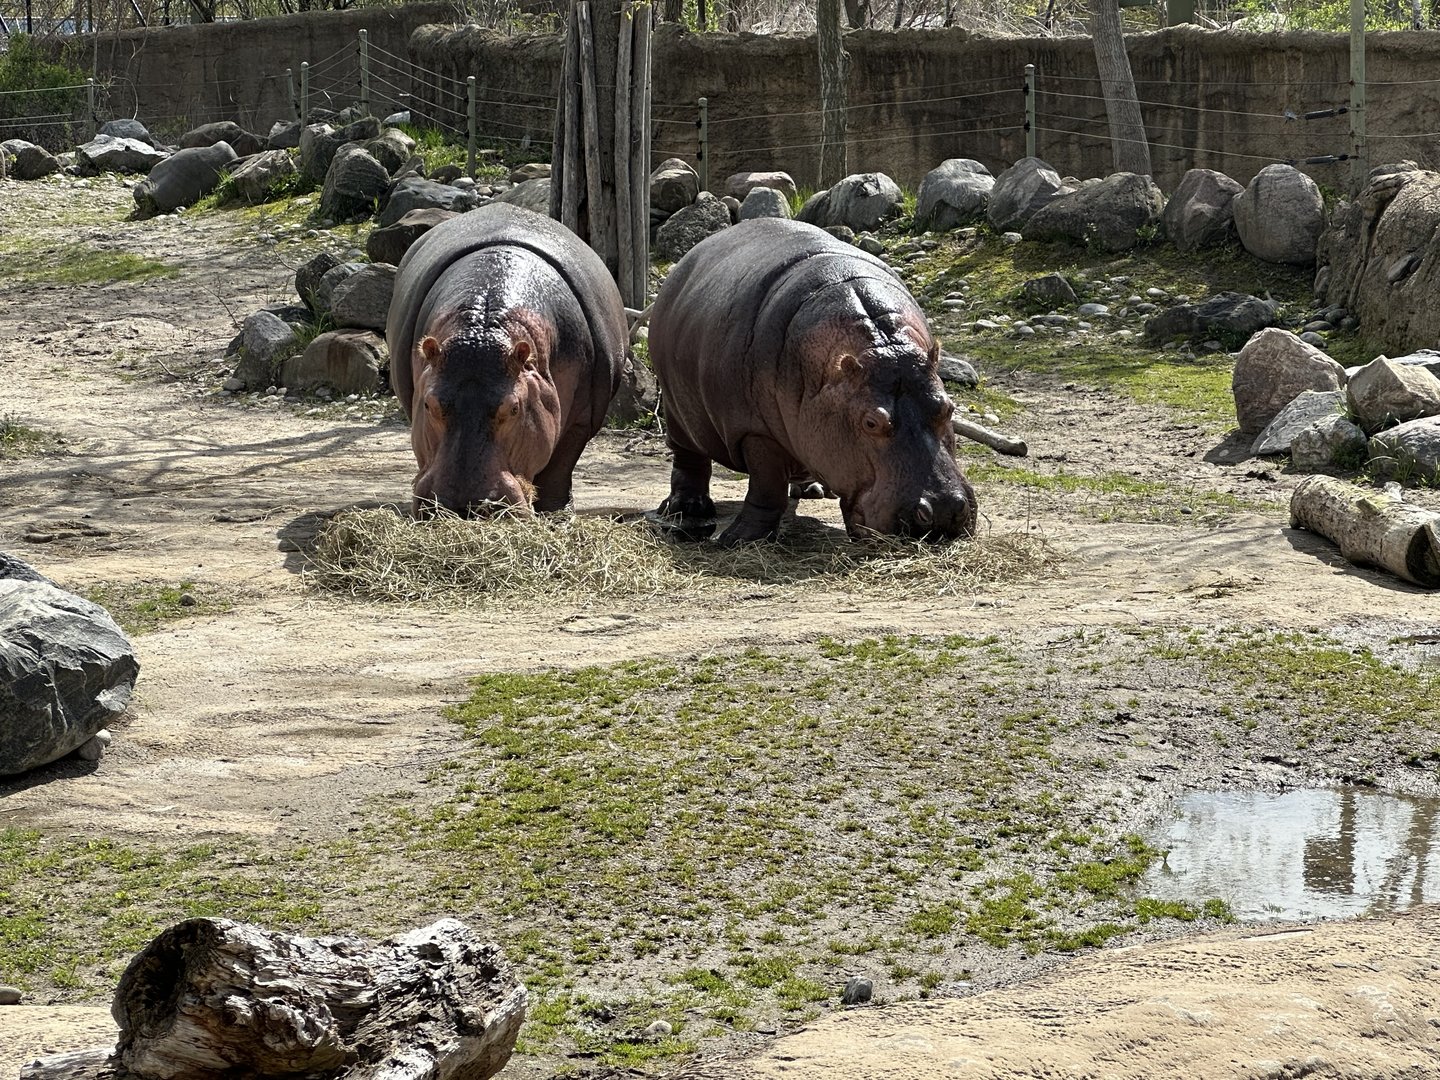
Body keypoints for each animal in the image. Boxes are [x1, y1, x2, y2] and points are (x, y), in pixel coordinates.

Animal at [386, 203, 626, 516]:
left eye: (513, 408)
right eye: (429, 405)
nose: (462, 508)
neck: (484, 326)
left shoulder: (581, 421)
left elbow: (560, 469)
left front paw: (557, 515)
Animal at [648, 218, 976, 545]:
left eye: (948, 408)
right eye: (871, 423)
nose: (943, 509)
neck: (880, 343)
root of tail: (689, 258)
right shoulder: (755, 432)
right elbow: (766, 489)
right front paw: (739, 540)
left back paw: (814, 490)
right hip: (677, 412)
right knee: (688, 459)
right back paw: (687, 507)